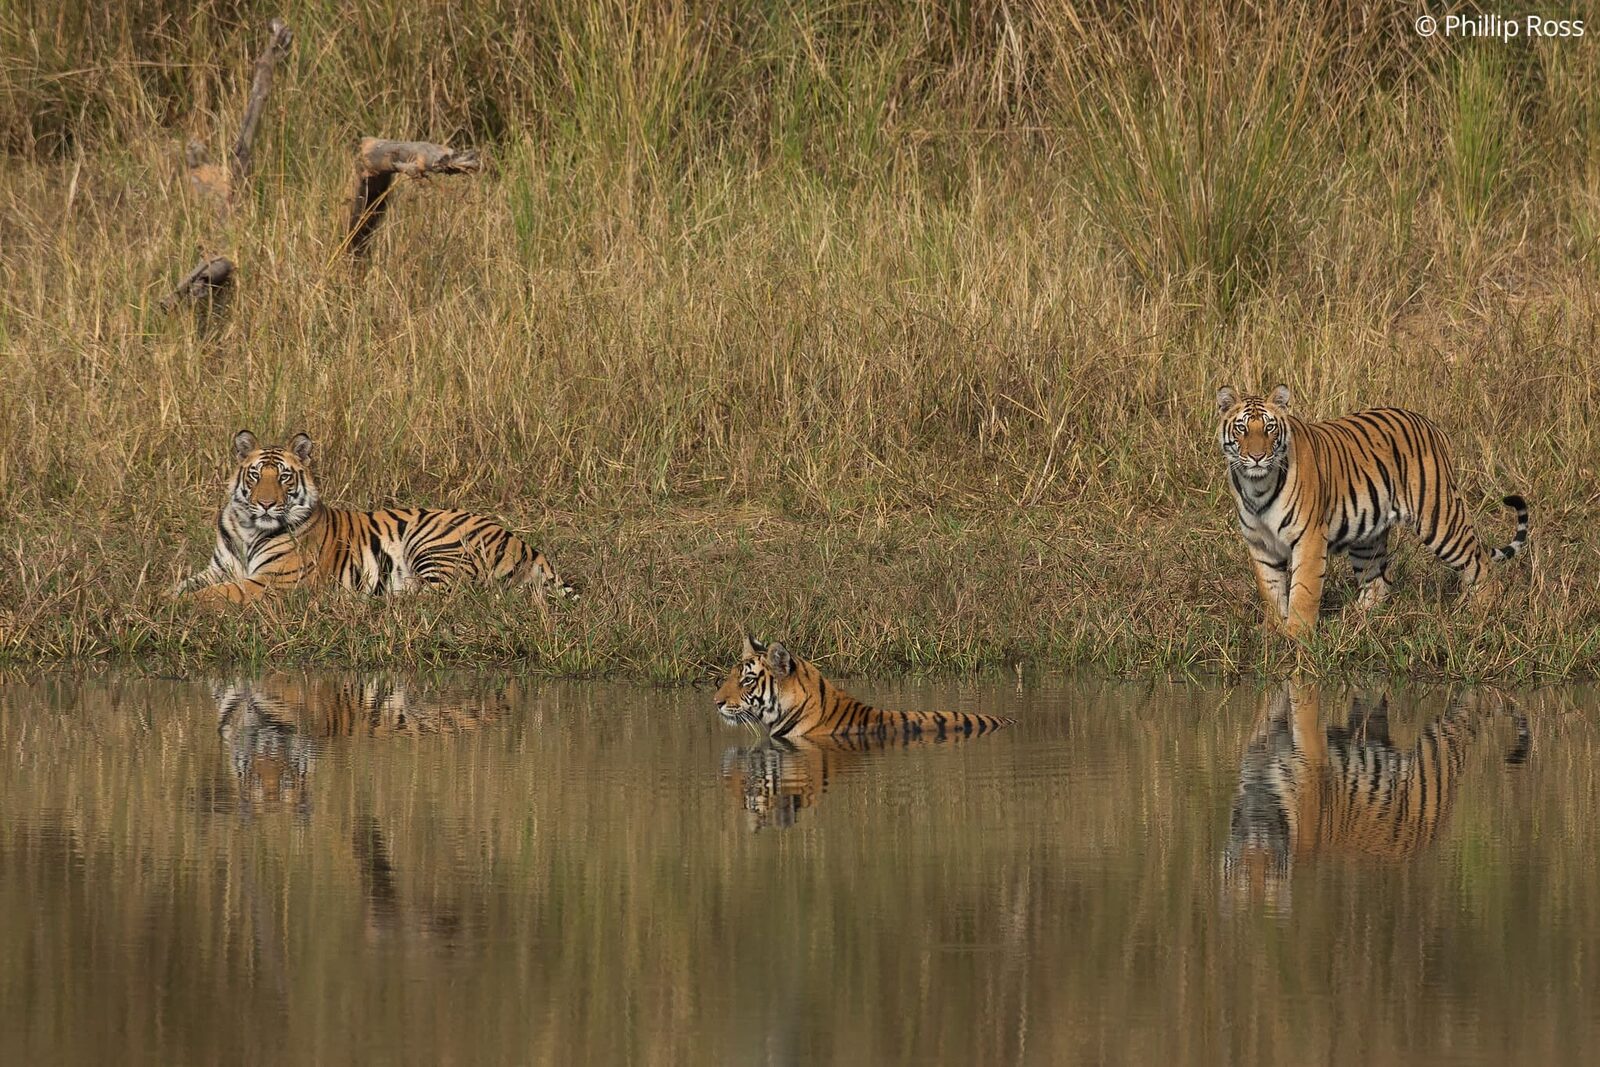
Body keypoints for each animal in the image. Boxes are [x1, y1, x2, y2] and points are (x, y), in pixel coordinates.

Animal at [173, 430, 576, 606]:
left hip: (433, 543)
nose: (267, 504)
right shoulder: (218, 568)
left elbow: (219, 593)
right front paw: (161, 598)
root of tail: (522, 541)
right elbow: (183, 585)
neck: (247, 528)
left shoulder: (274, 580)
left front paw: (175, 606)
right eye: (256, 475)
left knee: (444, 594)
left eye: (284, 477)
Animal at [1216, 385, 1529, 637]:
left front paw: (1296, 635)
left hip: (1440, 519)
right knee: (1378, 584)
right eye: (1242, 428)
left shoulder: (1309, 538)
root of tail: (1430, 425)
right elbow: (1270, 589)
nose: (1257, 457)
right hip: (1367, 535)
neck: (1256, 485)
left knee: (1481, 564)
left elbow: (1303, 589)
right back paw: (1353, 620)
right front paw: (1272, 630)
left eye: (1269, 428)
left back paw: (1479, 614)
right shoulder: (1260, 544)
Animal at [1222, 681, 1529, 911]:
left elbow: (1301, 705)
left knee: (1468, 710)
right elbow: (1270, 711)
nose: (1258, 842)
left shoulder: (1309, 753)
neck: (1260, 806)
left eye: (1269, 868)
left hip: (1439, 744)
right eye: (1245, 873)